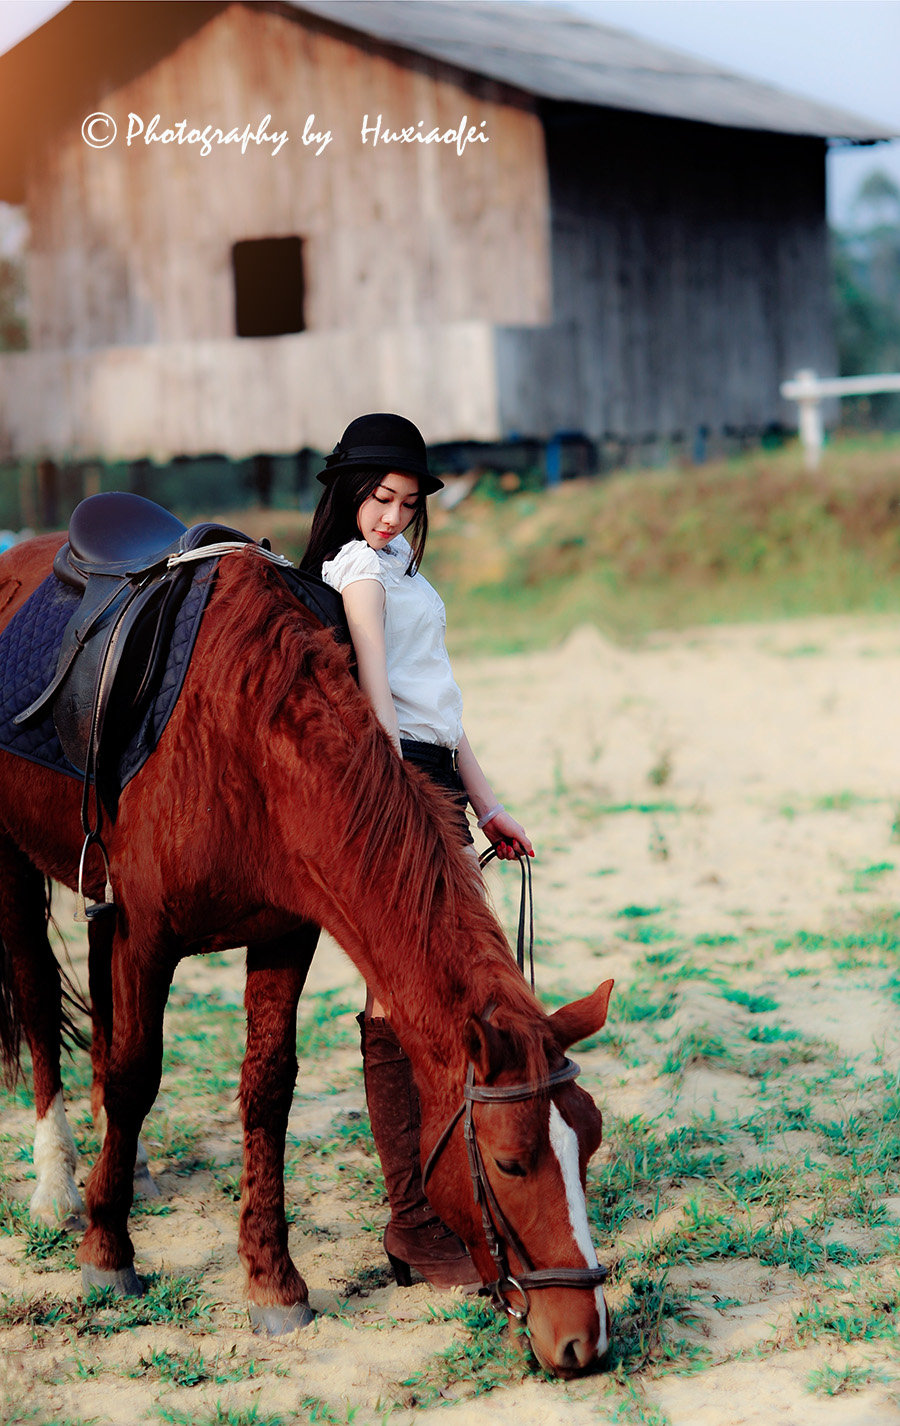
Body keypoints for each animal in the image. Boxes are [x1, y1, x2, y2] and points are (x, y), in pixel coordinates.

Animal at [0, 530, 616, 1374]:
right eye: (509, 1162)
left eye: (588, 1144)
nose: (584, 1340)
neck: (239, 739)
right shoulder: (149, 932)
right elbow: (135, 1075)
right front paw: (106, 1252)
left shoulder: (281, 934)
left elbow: (268, 1091)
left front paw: (273, 1282)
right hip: (12, 866)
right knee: (36, 998)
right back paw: (57, 1185)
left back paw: (131, 1170)